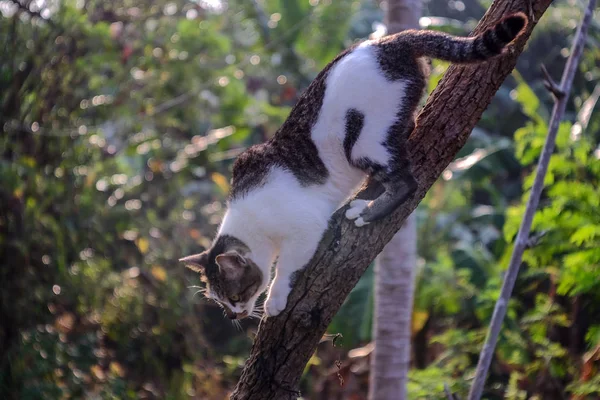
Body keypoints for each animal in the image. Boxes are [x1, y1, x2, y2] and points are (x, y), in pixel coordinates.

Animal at [180, 12, 528, 318]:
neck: (253, 219)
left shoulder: (304, 230)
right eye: (220, 301)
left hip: (362, 143)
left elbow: (285, 268)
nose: (234, 316)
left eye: (236, 295)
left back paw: (365, 211)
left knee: (406, 183)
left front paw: (274, 300)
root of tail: (388, 41)